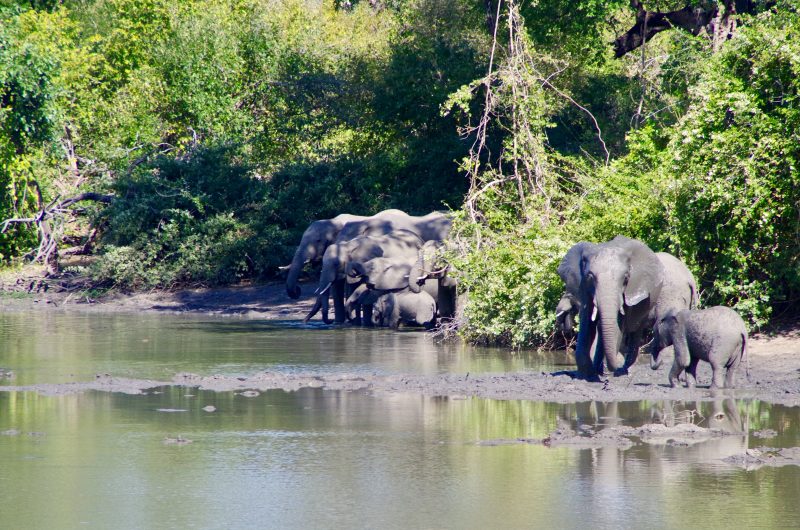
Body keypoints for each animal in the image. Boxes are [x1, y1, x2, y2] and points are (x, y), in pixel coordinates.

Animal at [568, 236, 665, 377]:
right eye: (590, 277)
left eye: (625, 278)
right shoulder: (583, 287)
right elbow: (586, 323)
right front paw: (586, 374)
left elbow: (619, 326)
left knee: (635, 333)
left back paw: (621, 369)